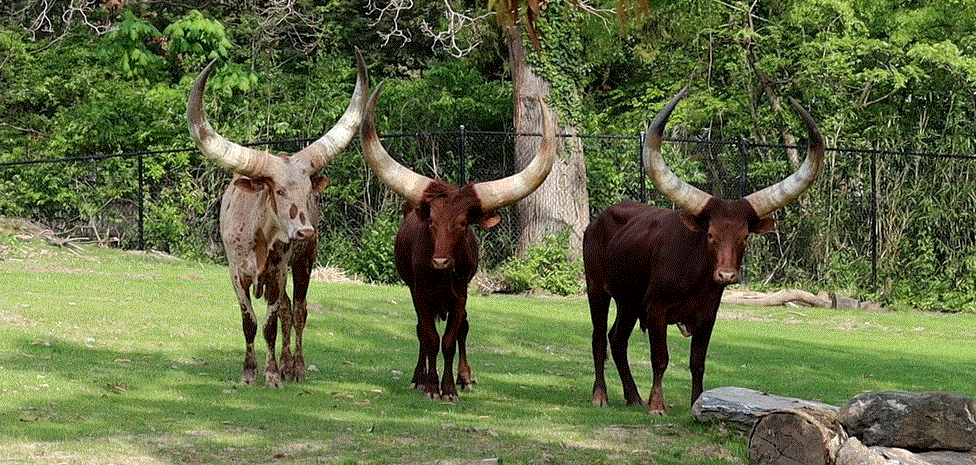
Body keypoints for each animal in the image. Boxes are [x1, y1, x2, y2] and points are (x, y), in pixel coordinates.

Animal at [186, 50, 369, 388]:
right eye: (279, 190)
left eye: (308, 190)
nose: (305, 231)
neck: (259, 238)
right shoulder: (236, 274)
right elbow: (249, 321)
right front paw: (249, 372)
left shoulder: (278, 273)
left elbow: (271, 323)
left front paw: (271, 375)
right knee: (286, 309)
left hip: (304, 262)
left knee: (297, 311)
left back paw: (294, 367)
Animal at [360, 84, 556, 400]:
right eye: (431, 221)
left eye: (463, 223)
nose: (440, 261)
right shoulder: (420, 293)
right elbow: (428, 337)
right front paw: (430, 386)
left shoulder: (461, 294)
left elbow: (451, 338)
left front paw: (450, 388)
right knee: (421, 330)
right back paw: (419, 377)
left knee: (463, 328)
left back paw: (465, 378)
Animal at [584, 87, 824, 414]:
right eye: (710, 235)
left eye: (745, 237)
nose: (726, 275)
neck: (696, 278)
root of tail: (597, 221)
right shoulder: (656, 309)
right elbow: (660, 359)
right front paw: (657, 405)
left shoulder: (708, 315)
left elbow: (697, 363)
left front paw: (697, 402)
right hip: (597, 289)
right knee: (599, 338)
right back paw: (600, 396)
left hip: (629, 301)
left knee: (617, 339)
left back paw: (633, 396)